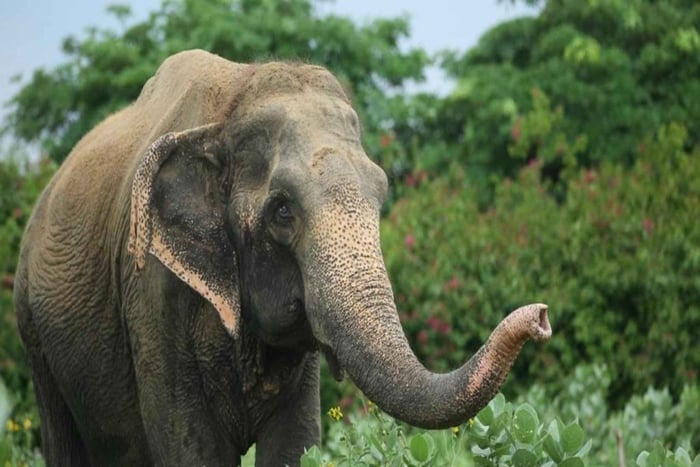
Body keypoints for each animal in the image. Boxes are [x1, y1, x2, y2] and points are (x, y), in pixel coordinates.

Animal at [14, 49, 551, 466]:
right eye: (282, 210)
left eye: (382, 194)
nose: (541, 316)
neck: (232, 106)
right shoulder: (151, 294)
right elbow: (191, 448)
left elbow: (295, 444)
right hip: (33, 332)